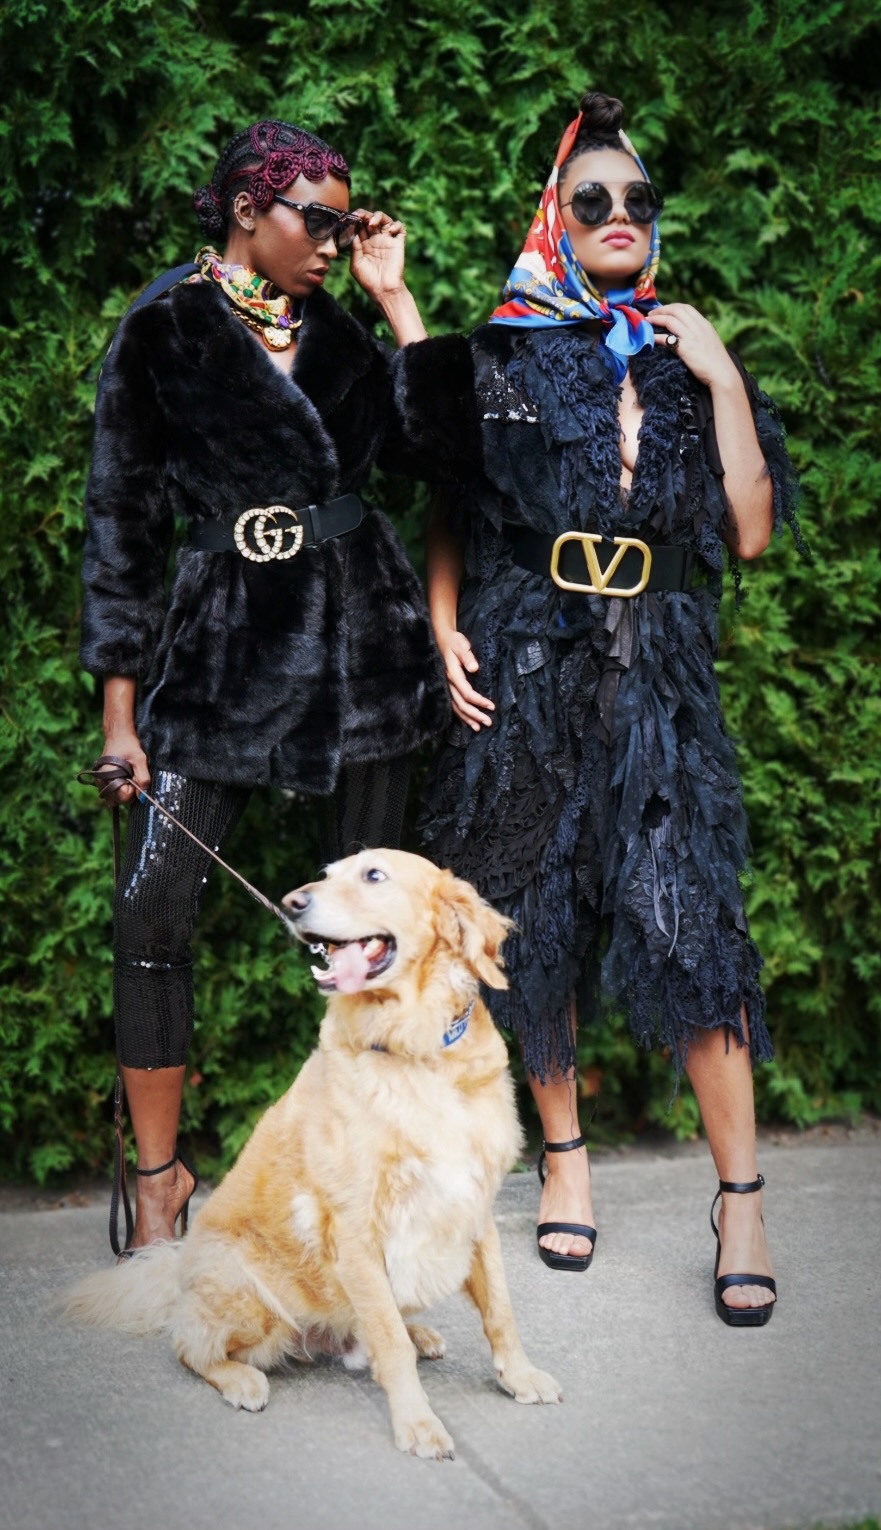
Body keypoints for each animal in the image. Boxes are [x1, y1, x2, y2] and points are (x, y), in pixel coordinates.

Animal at [64, 849, 561, 1458]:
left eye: (374, 875)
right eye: (326, 875)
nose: (293, 902)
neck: (413, 1049)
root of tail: (176, 1266)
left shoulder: (473, 1208)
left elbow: (499, 1311)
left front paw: (520, 1376)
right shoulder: (357, 1231)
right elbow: (389, 1342)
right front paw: (417, 1423)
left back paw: (417, 1332)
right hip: (249, 1297)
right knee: (189, 1344)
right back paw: (241, 1379)